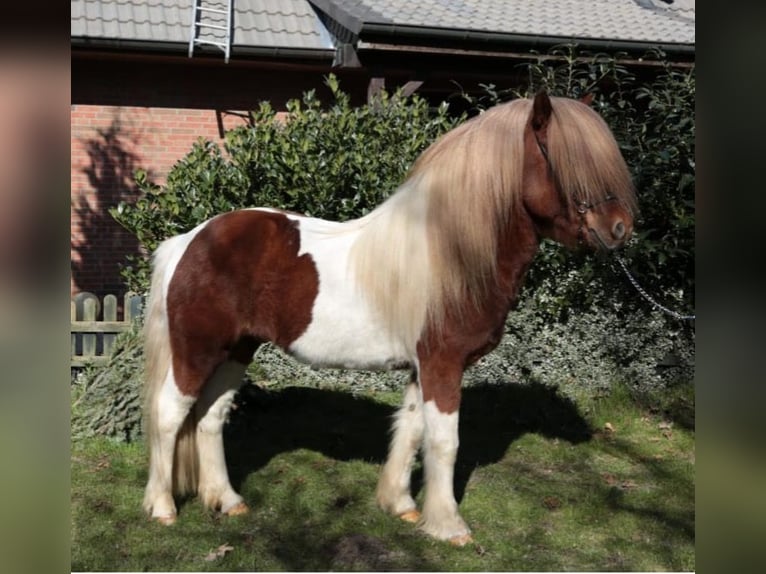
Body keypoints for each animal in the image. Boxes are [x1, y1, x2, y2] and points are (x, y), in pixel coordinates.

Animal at [141, 92, 640, 548]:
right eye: (566, 159)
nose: (619, 228)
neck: (452, 251)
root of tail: (189, 239)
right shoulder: (443, 364)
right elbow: (444, 442)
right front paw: (449, 525)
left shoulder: (424, 367)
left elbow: (412, 429)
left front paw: (401, 506)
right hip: (197, 352)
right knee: (169, 414)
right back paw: (162, 508)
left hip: (236, 351)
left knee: (210, 417)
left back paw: (227, 500)